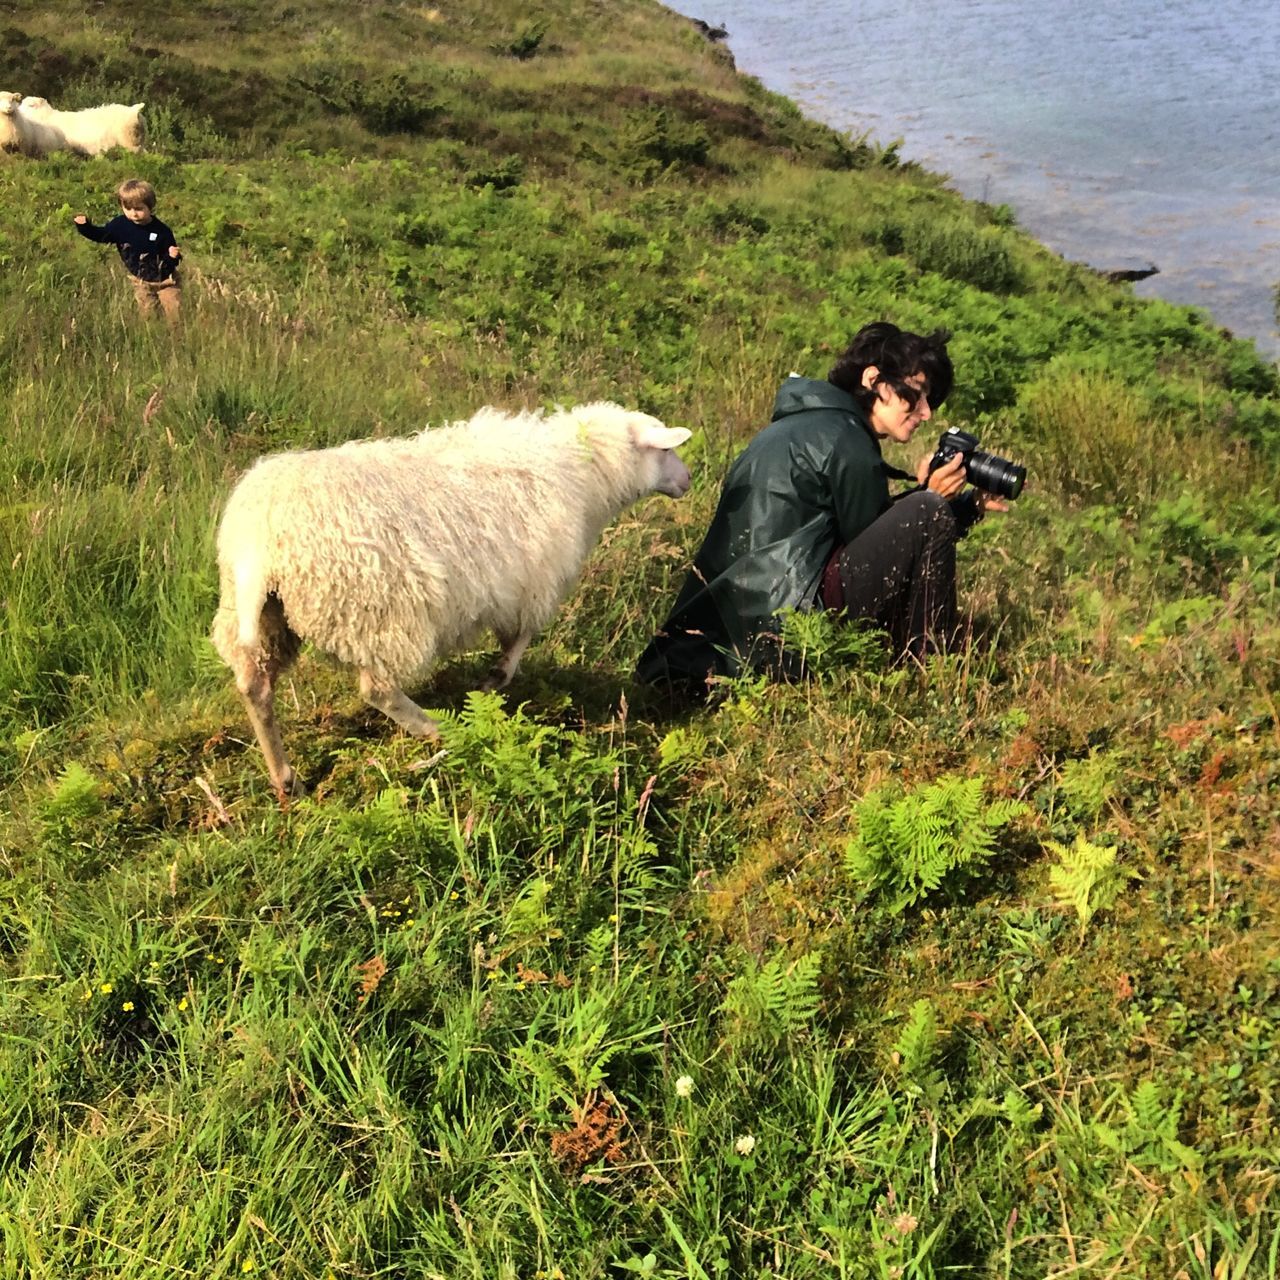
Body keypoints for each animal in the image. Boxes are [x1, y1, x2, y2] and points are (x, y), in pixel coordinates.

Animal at [212, 404, 691, 793]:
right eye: (666, 450)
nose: (688, 480)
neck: (581, 473)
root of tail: (259, 541)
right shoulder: (531, 584)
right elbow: (519, 640)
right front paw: (492, 680)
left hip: (262, 618)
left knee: (255, 688)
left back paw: (285, 778)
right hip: (379, 613)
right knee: (377, 689)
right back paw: (435, 729)